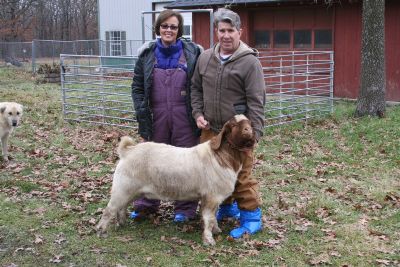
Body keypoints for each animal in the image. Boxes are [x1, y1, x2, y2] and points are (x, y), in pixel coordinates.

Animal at [95, 114, 255, 246]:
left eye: (249, 123)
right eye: (233, 126)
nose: (248, 131)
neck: (220, 157)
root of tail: (128, 151)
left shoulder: (212, 198)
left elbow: (213, 216)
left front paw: (216, 230)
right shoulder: (211, 197)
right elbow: (208, 218)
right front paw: (209, 240)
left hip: (130, 190)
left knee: (121, 207)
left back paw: (122, 223)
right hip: (123, 188)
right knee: (109, 209)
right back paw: (101, 230)